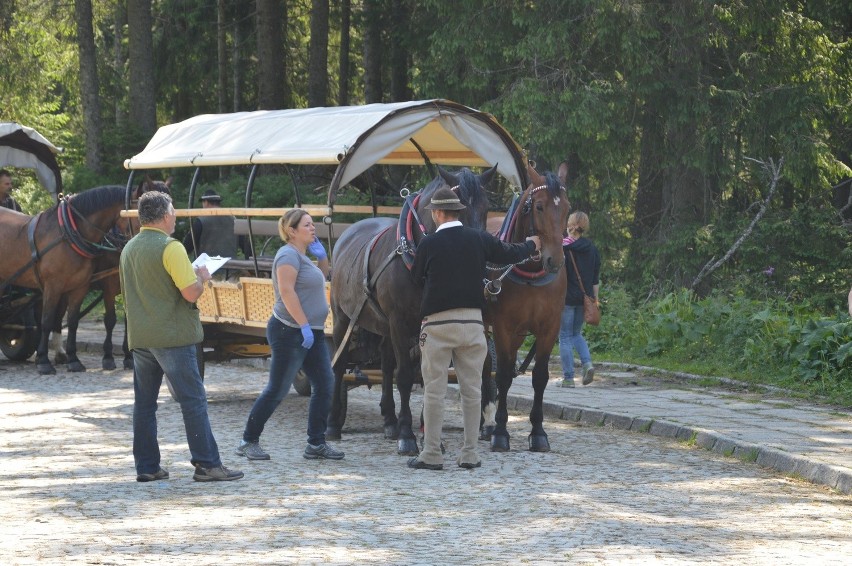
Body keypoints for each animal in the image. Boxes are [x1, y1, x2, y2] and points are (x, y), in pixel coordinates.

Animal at [0, 186, 130, 378]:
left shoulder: (79, 286)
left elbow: (74, 321)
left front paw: (74, 361)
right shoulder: (55, 286)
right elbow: (47, 320)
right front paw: (44, 362)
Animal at [328, 166, 500, 454]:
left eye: (486, 207)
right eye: (460, 210)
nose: (480, 263)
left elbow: (428, 376)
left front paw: (430, 436)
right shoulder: (399, 322)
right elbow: (407, 376)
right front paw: (408, 436)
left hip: (384, 326)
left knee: (386, 364)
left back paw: (389, 420)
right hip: (343, 317)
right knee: (339, 364)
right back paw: (332, 425)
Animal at [482, 163, 568, 452]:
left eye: (567, 207)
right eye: (539, 206)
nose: (555, 260)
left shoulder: (549, 327)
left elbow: (539, 377)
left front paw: (538, 432)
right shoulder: (503, 327)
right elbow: (503, 375)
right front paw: (500, 432)